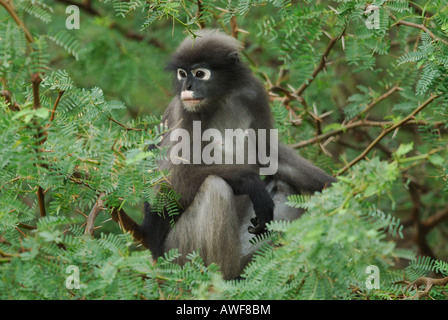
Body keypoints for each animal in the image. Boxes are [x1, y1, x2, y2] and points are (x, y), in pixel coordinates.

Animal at [138, 30, 334, 280]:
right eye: (182, 73)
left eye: (200, 73)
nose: (187, 85)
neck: (221, 99)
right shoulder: (183, 112)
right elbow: (167, 186)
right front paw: (251, 183)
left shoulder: (253, 94)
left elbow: (269, 154)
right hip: (178, 253)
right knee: (215, 187)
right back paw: (222, 277)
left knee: (284, 188)